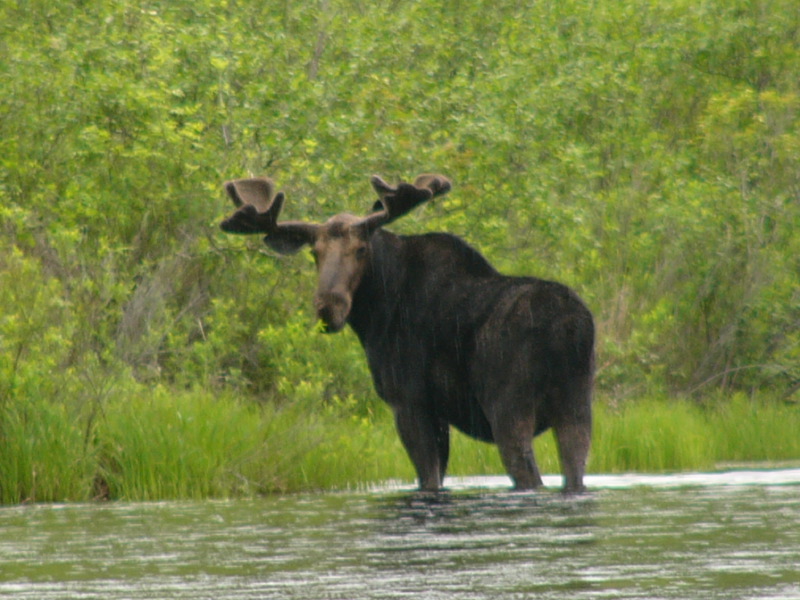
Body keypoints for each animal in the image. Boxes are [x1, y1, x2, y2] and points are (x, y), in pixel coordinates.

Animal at [219, 174, 594, 493]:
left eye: (361, 249)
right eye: (315, 252)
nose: (329, 308)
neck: (375, 316)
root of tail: (570, 328)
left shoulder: (408, 401)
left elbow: (428, 479)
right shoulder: (436, 411)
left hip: (509, 407)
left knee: (530, 476)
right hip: (577, 406)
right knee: (574, 471)